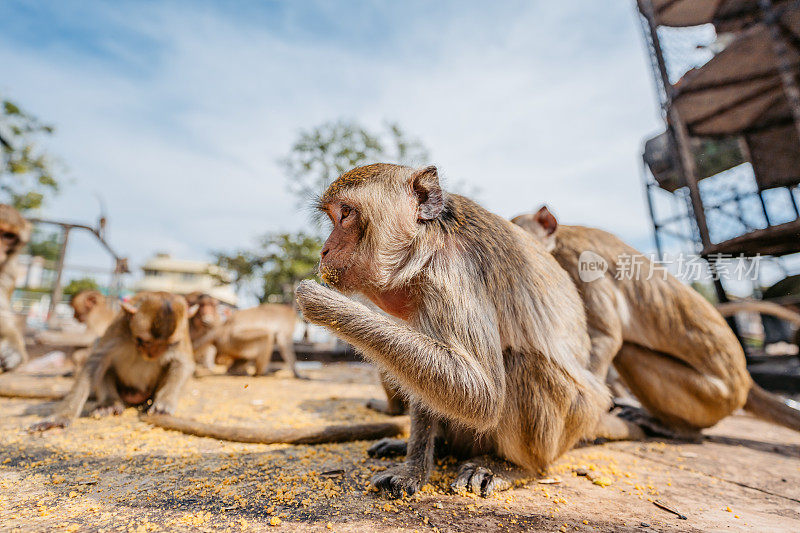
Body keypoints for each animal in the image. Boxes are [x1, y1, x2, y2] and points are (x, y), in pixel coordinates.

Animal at [28, 288, 198, 430]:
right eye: (143, 341)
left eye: (170, 344)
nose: (151, 355)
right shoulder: (119, 327)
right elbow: (95, 361)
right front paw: (60, 416)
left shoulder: (183, 333)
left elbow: (184, 364)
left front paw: (165, 402)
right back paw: (109, 403)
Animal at [296, 163, 640, 498]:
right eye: (333, 216)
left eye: (346, 214)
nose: (324, 250)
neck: (426, 244)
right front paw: (413, 469)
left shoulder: (451, 272)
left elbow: (481, 391)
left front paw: (326, 305)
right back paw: (438, 448)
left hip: (563, 430)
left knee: (521, 363)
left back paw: (515, 468)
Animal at [510, 207, 800, 436]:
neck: (559, 240)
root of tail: (745, 380)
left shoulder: (580, 264)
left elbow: (605, 336)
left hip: (711, 397)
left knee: (628, 351)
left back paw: (679, 429)